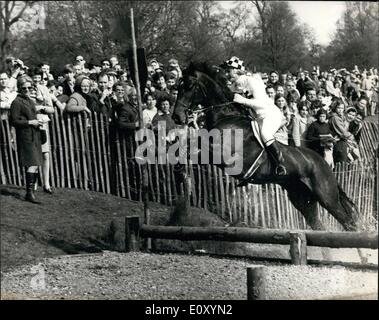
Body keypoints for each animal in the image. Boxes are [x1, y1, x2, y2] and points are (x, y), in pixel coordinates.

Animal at [174, 62, 360, 232]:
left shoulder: (222, 154)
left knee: (348, 222)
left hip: (327, 197)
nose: (176, 117)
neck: (225, 117)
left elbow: (195, 150)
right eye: (177, 86)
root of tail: (324, 163)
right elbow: (188, 148)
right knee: (318, 224)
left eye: (188, 86)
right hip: (301, 198)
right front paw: (179, 172)